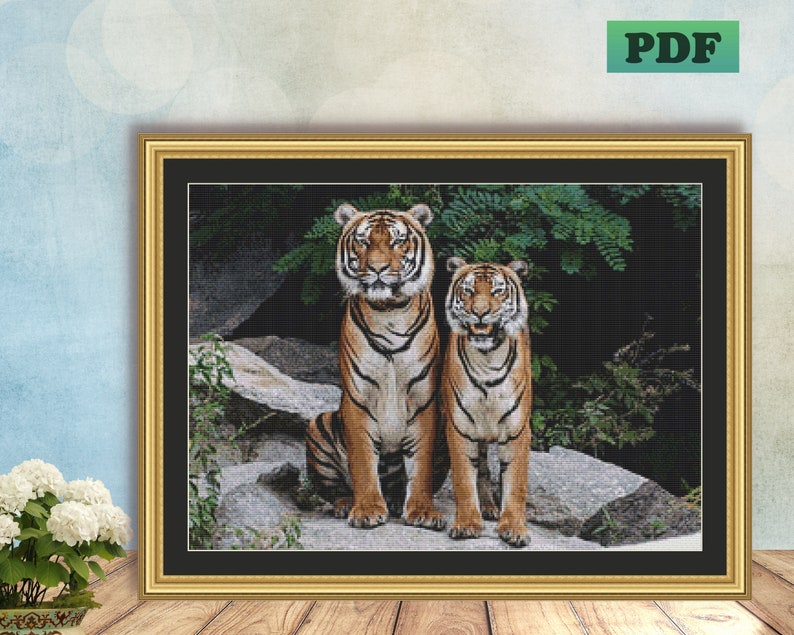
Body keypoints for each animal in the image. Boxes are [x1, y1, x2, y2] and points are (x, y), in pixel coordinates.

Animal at [305, 203, 448, 531]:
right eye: (363, 241)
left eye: (397, 241)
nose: (378, 268)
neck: (389, 311)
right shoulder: (359, 398)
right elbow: (362, 462)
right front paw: (368, 509)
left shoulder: (424, 400)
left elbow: (420, 466)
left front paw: (422, 510)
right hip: (319, 423)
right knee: (335, 490)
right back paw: (347, 504)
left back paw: (396, 500)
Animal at [440, 257, 533, 547]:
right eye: (468, 291)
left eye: (497, 291)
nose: (480, 313)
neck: (487, 358)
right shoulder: (459, 427)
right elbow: (463, 479)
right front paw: (467, 523)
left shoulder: (517, 430)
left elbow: (515, 484)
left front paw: (514, 529)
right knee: (481, 468)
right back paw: (487, 507)